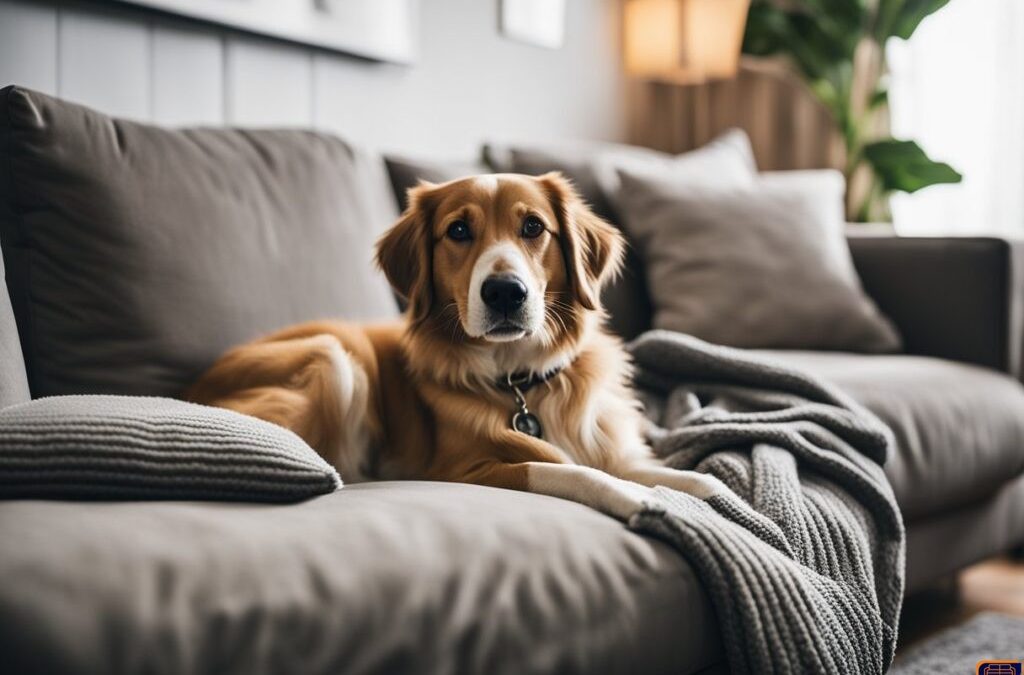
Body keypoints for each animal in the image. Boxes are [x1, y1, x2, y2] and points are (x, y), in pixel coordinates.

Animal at [186, 173, 712, 518]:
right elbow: (570, 470)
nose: (505, 292)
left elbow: (654, 468)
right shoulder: (463, 469)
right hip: (336, 359)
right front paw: (637, 497)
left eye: (533, 227)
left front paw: (705, 486)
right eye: (458, 230)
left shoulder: (608, 444)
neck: (520, 382)